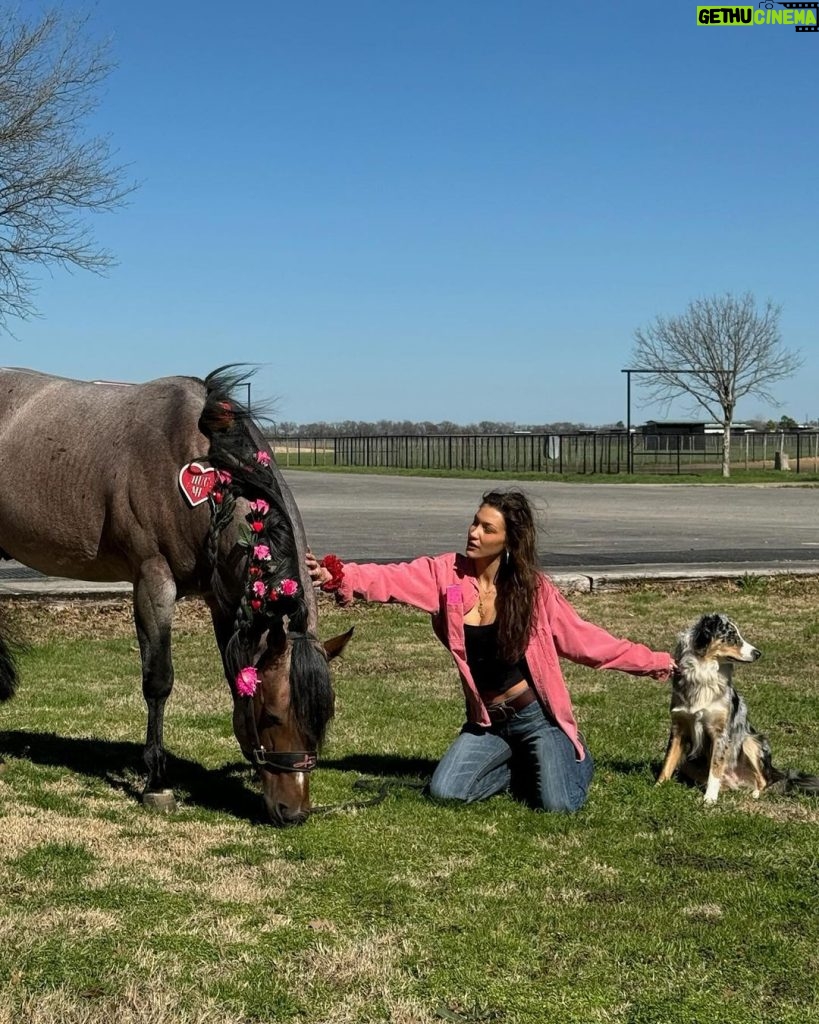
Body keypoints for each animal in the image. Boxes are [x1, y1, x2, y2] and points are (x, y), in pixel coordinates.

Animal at [0, 366, 348, 823]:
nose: (293, 811)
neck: (205, 476)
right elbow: (158, 680)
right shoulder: (153, 582)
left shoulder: (224, 601)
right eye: (273, 715)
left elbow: (234, 678)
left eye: (321, 720)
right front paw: (157, 781)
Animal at [655, 610, 818, 802]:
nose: (758, 653)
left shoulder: (721, 733)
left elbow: (715, 768)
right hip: (688, 762)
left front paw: (709, 799)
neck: (704, 672)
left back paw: (755, 794)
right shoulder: (678, 728)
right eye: (732, 636)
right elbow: (668, 762)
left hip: (751, 741)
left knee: (764, 780)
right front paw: (657, 788)